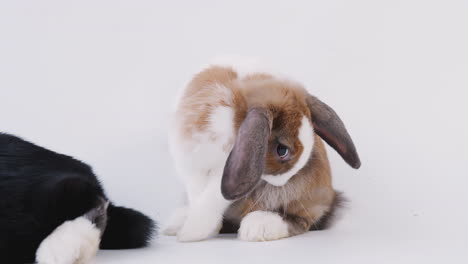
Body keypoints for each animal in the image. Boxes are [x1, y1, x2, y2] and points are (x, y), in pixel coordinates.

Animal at [165, 56, 362, 242]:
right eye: (282, 150)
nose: (282, 182)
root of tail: (332, 199)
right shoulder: (192, 167)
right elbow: (198, 197)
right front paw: (193, 229)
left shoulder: (223, 174)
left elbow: (212, 199)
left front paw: (191, 233)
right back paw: (177, 222)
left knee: (303, 220)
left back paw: (259, 226)